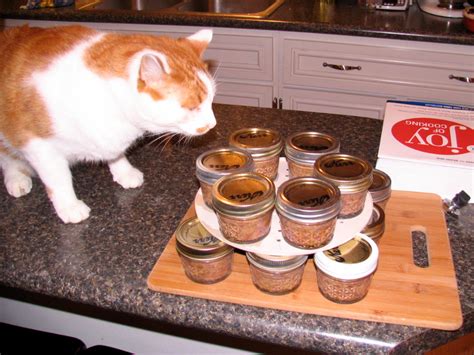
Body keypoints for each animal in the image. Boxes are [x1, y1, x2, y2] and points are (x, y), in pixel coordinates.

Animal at [0, 25, 217, 224]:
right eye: (192, 107)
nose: (212, 124)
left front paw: (124, 172)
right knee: (8, 159)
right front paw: (70, 206)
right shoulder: (38, 145)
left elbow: (115, 154)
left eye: (211, 100)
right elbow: (58, 179)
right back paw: (17, 179)